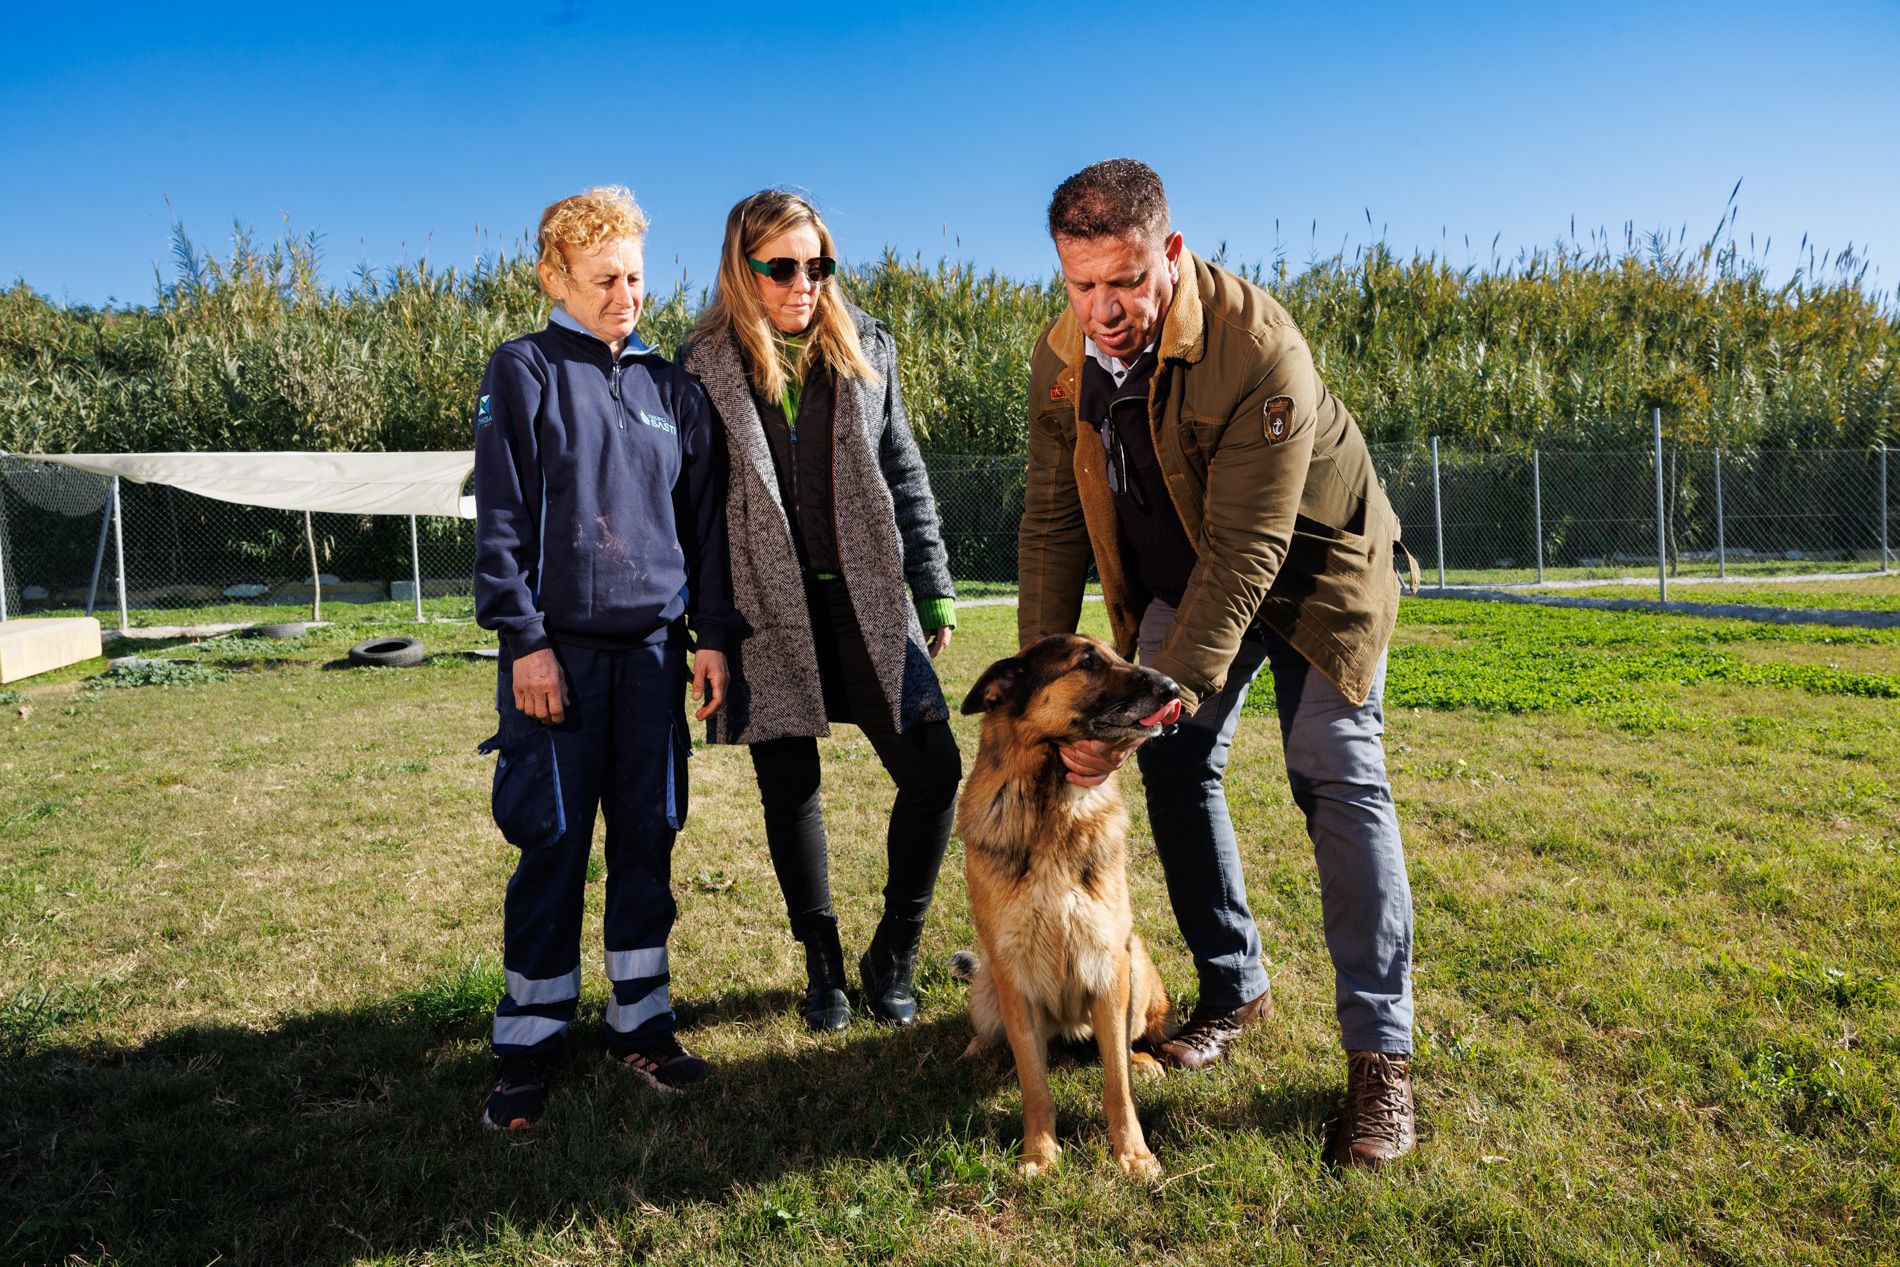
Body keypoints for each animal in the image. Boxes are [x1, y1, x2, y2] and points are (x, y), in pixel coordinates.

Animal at [957, 634, 1178, 1177]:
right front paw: (1039, 1152)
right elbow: (1034, 1084)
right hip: (988, 984)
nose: (1173, 687)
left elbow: (1116, 1082)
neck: (1053, 803)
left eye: (1119, 654)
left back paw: (1143, 1060)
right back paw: (977, 1049)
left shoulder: (1107, 964)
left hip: (1135, 964)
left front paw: (1132, 1152)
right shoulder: (1013, 976)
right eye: (1087, 663)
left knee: (1125, 1043)